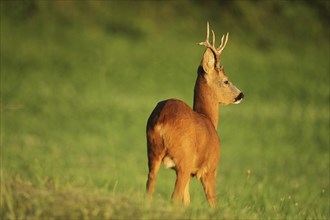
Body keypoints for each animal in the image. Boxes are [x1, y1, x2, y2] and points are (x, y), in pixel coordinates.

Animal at [146, 22, 244, 208]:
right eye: (226, 81)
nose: (241, 95)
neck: (209, 119)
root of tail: (162, 122)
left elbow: (187, 201)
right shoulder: (210, 168)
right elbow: (213, 203)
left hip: (153, 153)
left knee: (149, 189)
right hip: (183, 159)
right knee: (173, 197)